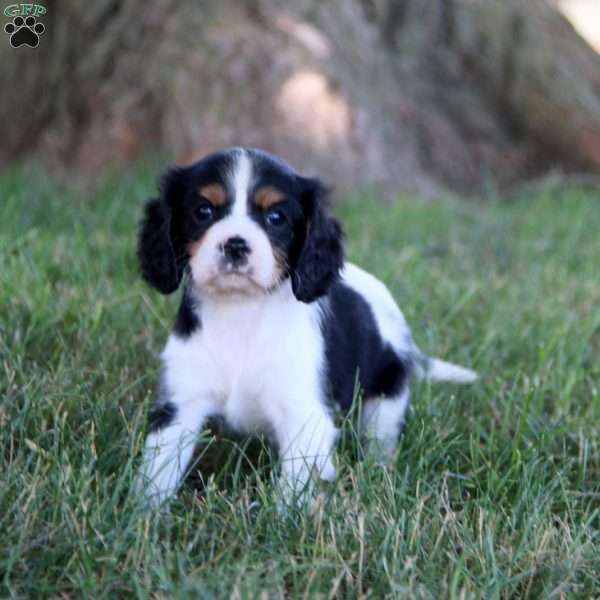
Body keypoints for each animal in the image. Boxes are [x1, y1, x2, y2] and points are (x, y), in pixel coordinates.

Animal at [136, 146, 478, 506]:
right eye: (203, 211)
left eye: (276, 217)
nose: (236, 244)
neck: (242, 311)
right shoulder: (180, 403)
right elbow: (158, 470)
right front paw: (145, 512)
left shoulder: (304, 417)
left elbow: (293, 489)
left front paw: (281, 518)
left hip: (385, 400)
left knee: (380, 440)